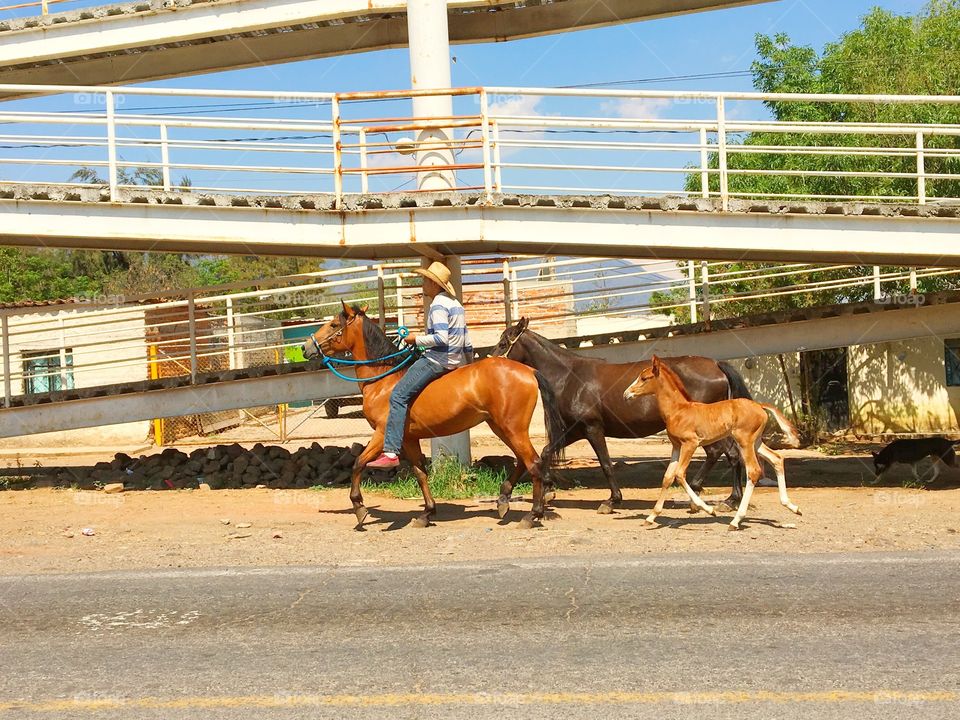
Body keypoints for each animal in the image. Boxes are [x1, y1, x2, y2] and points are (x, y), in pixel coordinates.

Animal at [302, 302, 563, 529]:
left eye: (334, 325)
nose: (306, 347)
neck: (384, 379)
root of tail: (529, 370)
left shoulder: (382, 432)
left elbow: (358, 464)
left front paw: (359, 508)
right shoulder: (409, 439)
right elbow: (420, 473)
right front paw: (426, 513)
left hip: (512, 428)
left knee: (533, 463)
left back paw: (532, 515)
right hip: (501, 427)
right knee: (522, 461)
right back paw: (503, 500)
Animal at [490, 318, 752, 513]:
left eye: (503, 343)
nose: (489, 363)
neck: (570, 376)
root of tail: (717, 365)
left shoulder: (592, 428)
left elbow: (606, 464)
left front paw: (612, 500)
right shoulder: (574, 431)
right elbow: (543, 454)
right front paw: (511, 495)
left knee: (719, 453)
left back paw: (703, 493)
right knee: (731, 454)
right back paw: (730, 499)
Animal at [624, 355, 802, 530]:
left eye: (644, 378)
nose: (626, 394)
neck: (678, 410)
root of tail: (759, 405)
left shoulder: (690, 443)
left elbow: (679, 474)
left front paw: (708, 509)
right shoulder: (676, 446)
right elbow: (667, 477)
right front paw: (651, 517)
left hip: (744, 441)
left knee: (754, 471)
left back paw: (735, 521)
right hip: (756, 442)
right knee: (776, 459)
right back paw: (792, 507)